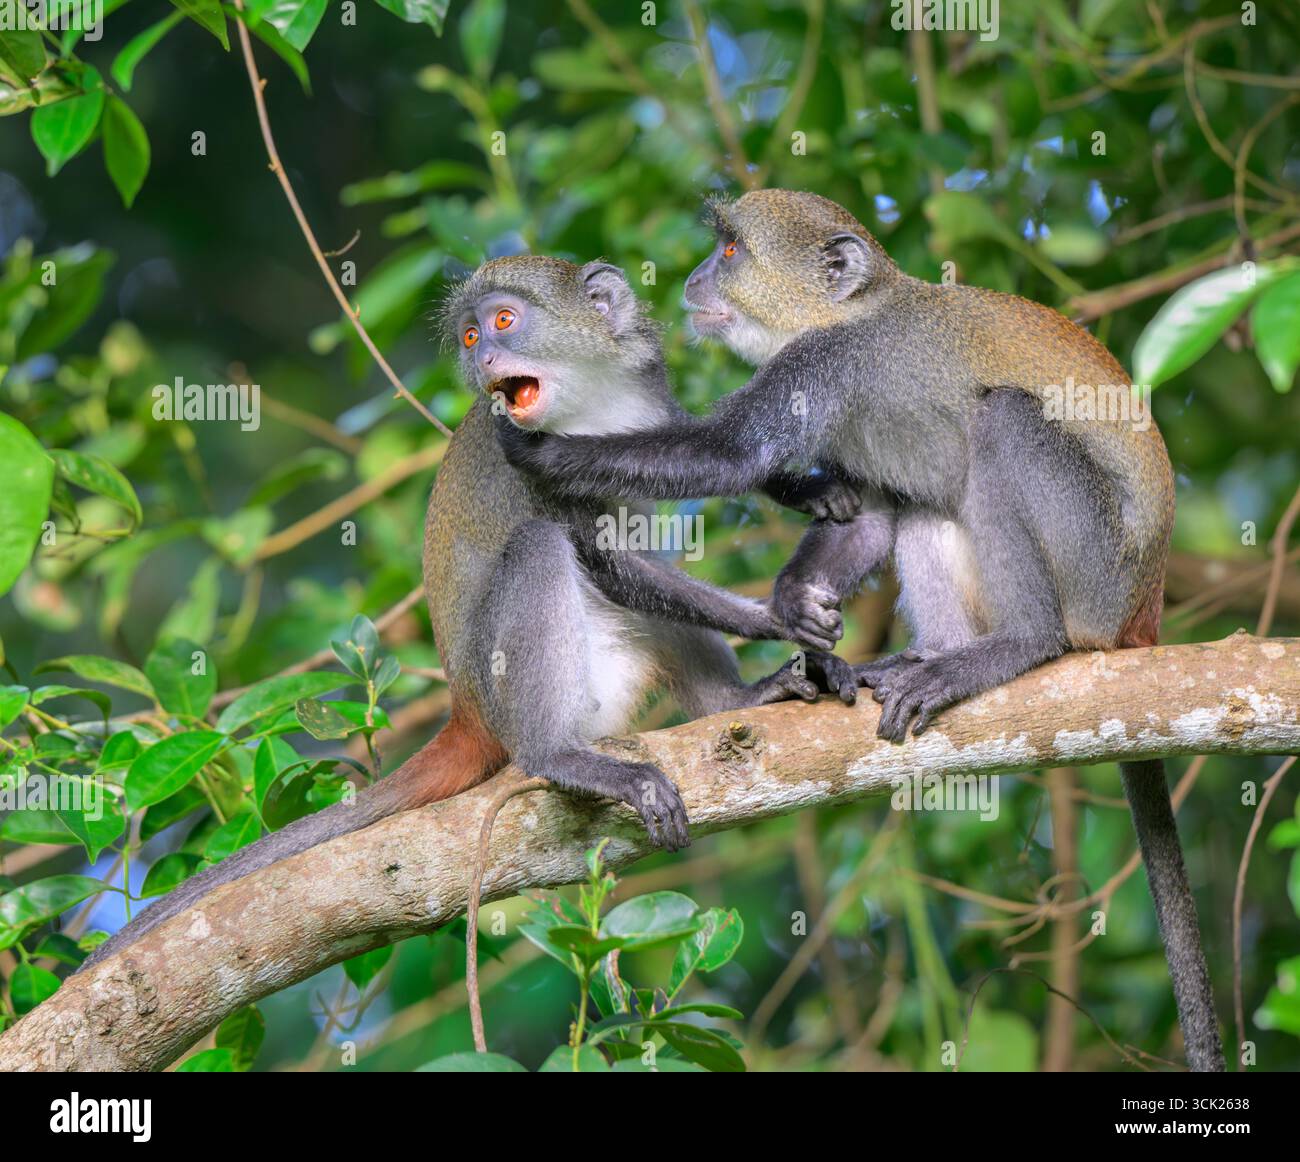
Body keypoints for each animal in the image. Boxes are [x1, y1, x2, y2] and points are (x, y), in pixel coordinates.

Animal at [80, 255, 858, 971]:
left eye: (504, 321)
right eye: (469, 334)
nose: (483, 356)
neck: (594, 401)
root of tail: (465, 706)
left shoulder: (649, 399)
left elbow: (702, 464)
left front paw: (804, 491)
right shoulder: (530, 460)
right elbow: (606, 558)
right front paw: (774, 616)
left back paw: (735, 700)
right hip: (509, 678)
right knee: (541, 549)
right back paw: (559, 756)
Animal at [495, 190, 1225, 1072]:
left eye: (730, 250)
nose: (697, 278)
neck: (854, 309)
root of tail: (1140, 610)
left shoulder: (822, 366)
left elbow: (724, 452)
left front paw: (541, 450)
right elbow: (871, 510)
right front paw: (795, 603)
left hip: (1094, 566)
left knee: (1003, 422)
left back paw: (1016, 646)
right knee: (928, 499)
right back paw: (933, 655)